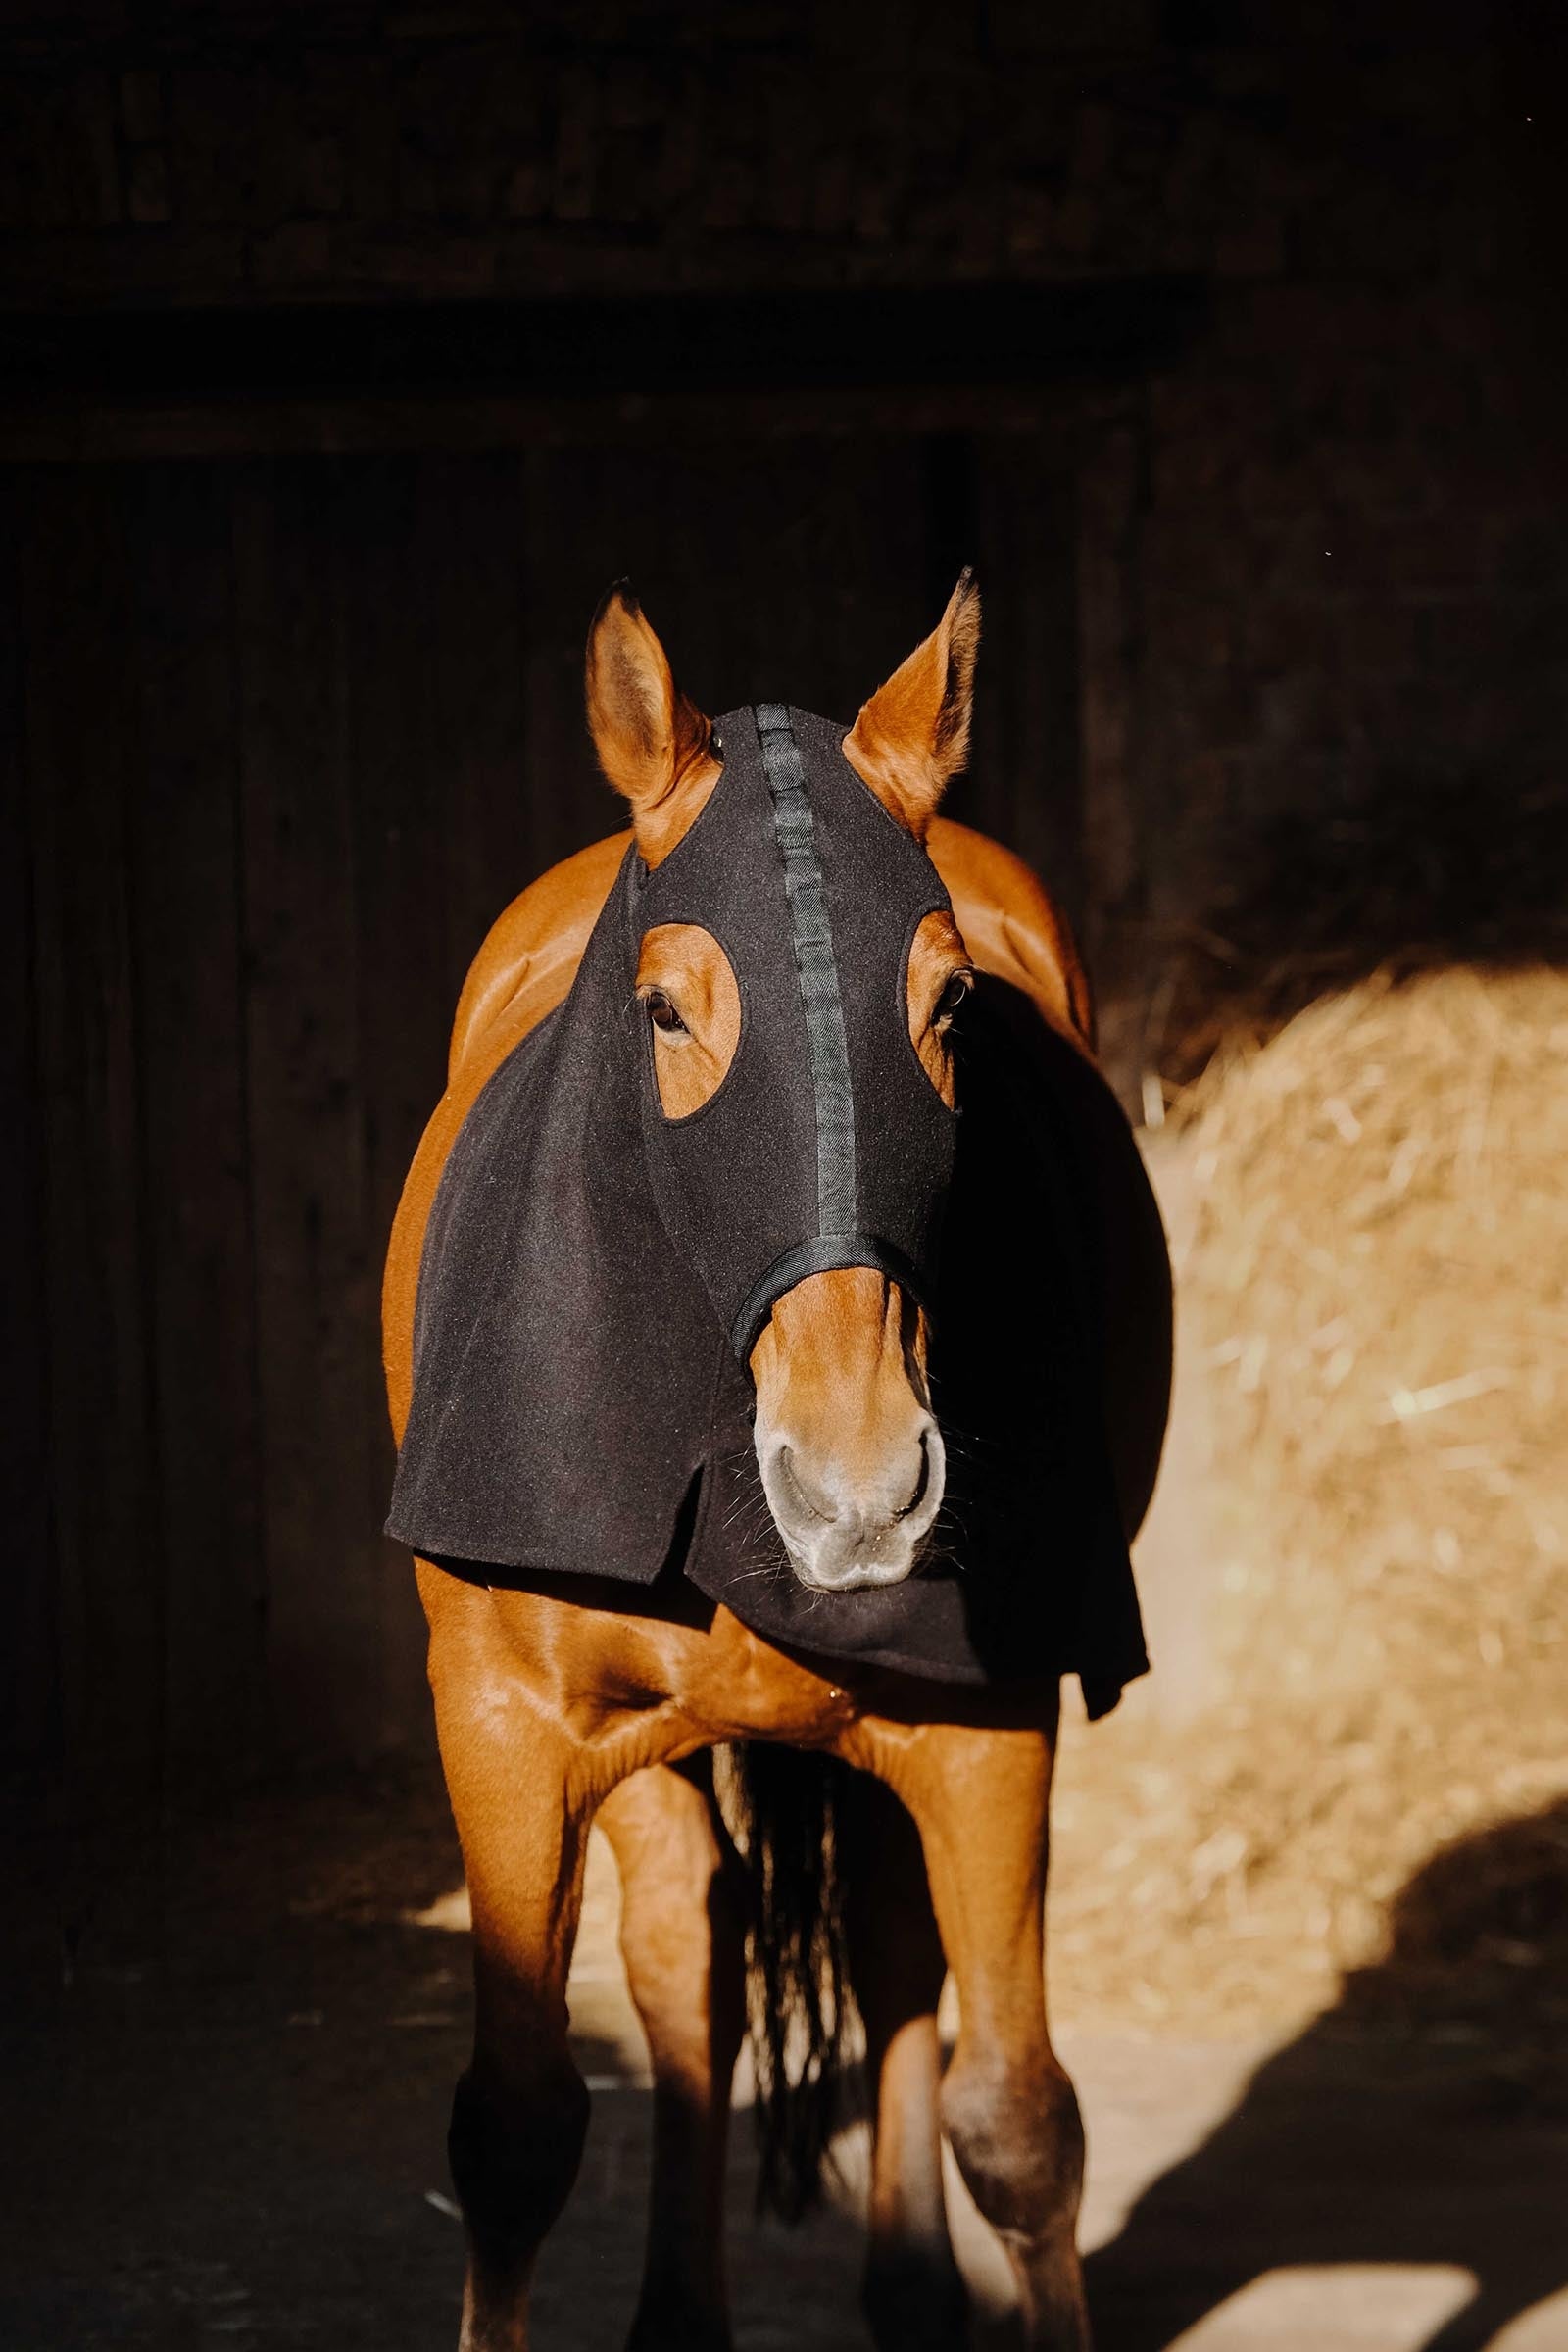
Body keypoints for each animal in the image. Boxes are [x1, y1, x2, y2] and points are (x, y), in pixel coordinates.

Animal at [382, 576, 1172, 2352]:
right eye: (667, 1008)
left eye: (951, 1008)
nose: (860, 1489)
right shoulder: (508, 1728)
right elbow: (514, 2132)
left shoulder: (988, 1727)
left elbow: (1018, 2125)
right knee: (696, 1950)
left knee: (883, 1960)